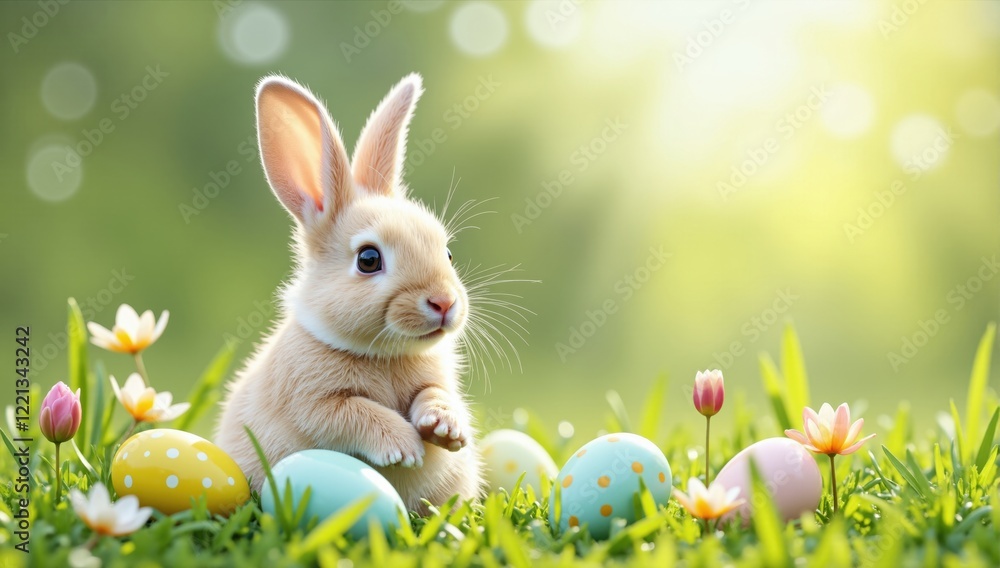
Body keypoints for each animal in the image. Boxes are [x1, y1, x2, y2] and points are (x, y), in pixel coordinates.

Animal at [215, 73, 483, 515]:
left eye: (447, 252)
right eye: (369, 259)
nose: (444, 303)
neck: (385, 355)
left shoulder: (437, 382)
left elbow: (437, 394)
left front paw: (444, 427)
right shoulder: (313, 404)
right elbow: (354, 413)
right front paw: (404, 447)